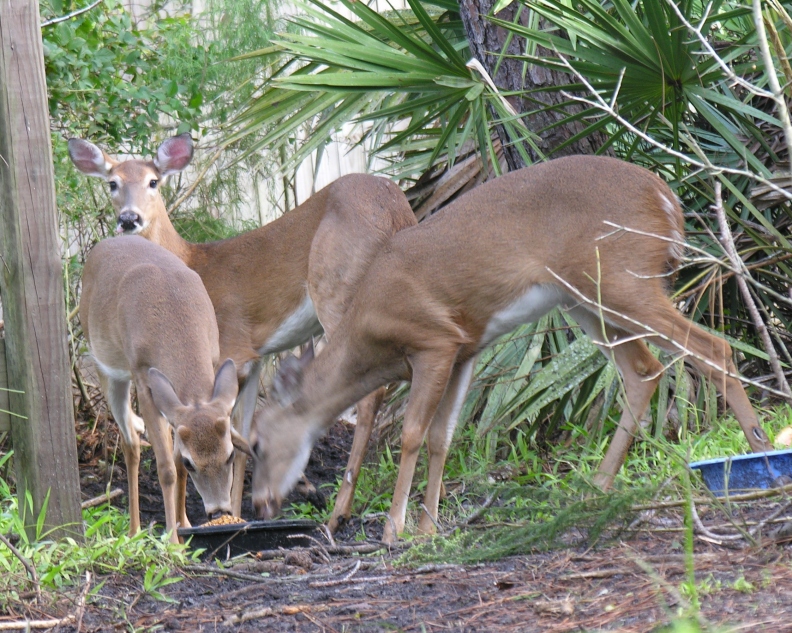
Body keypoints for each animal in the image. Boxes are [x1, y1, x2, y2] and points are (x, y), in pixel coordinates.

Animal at [80, 235, 250, 542]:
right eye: (193, 463)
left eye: (230, 454)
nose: (219, 511)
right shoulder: (144, 379)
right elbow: (167, 468)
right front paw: (172, 539)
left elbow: (175, 456)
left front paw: (184, 526)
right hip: (108, 370)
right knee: (131, 444)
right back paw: (134, 530)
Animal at [248, 154, 774, 544]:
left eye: (257, 442)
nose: (260, 503)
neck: (370, 332)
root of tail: (667, 199)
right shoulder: (466, 348)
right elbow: (442, 437)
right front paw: (428, 529)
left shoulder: (434, 340)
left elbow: (412, 434)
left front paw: (395, 530)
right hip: (587, 299)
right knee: (644, 370)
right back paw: (595, 487)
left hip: (621, 280)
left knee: (712, 348)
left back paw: (760, 458)